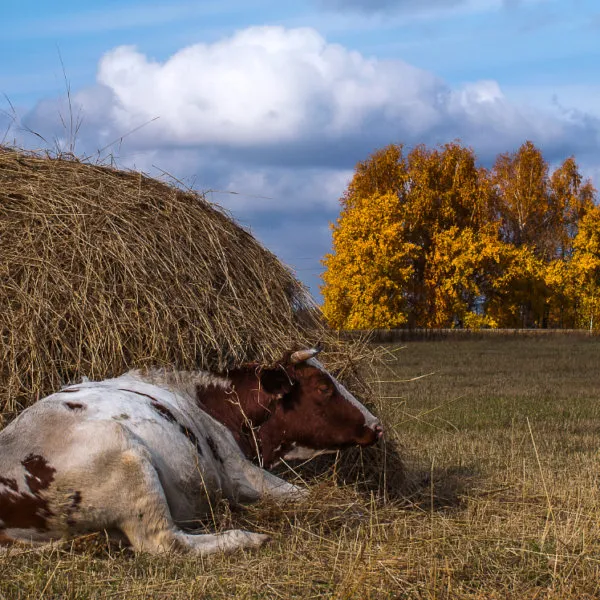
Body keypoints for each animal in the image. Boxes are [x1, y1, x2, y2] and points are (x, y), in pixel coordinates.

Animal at [0, 346, 382, 556]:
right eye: (324, 387)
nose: (376, 425)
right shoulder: (240, 472)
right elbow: (305, 494)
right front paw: (356, 509)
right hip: (130, 463)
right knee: (167, 543)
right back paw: (245, 538)